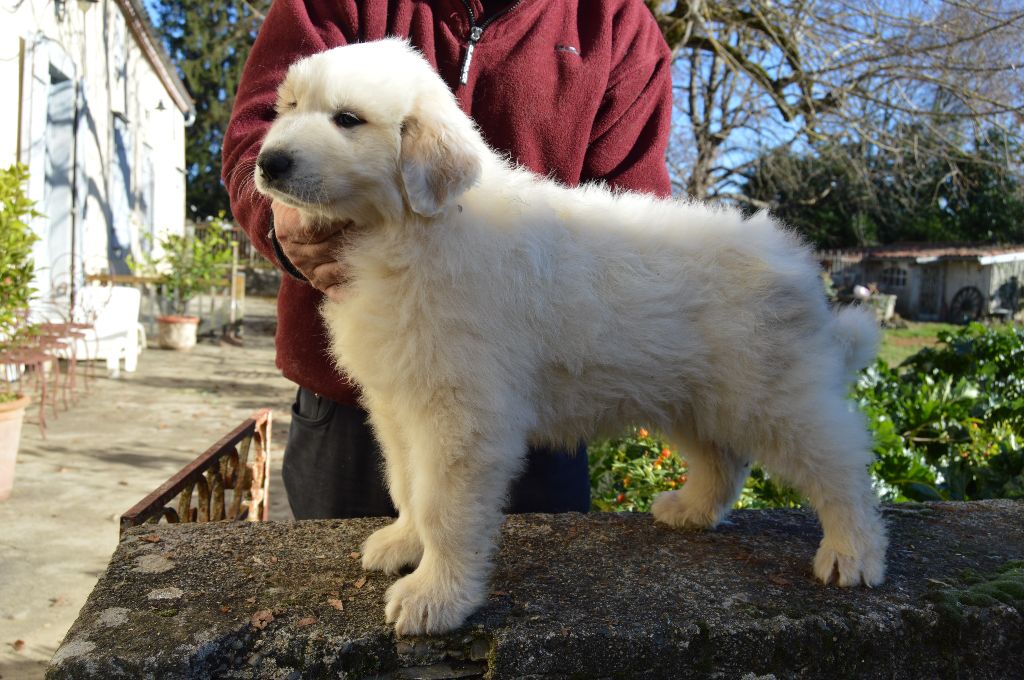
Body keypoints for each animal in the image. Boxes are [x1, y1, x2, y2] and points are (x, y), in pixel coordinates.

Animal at [256, 41, 888, 639]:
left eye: (347, 119)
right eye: (288, 107)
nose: (268, 162)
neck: (406, 229)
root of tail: (798, 265)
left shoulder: (460, 414)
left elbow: (444, 506)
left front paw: (436, 596)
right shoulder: (396, 403)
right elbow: (407, 484)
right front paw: (404, 543)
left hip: (773, 393)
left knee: (841, 464)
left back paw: (853, 553)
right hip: (692, 392)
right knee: (725, 459)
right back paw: (691, 510)